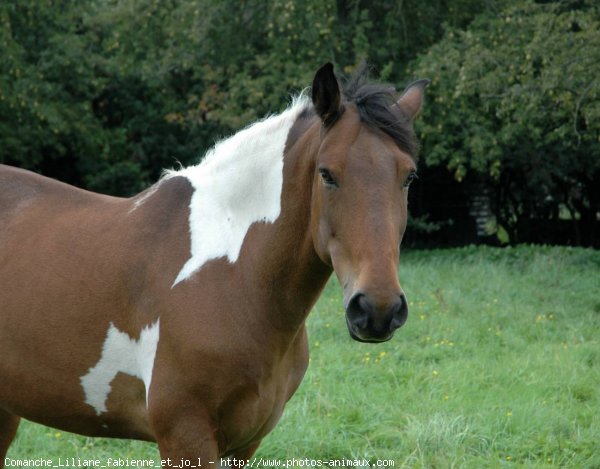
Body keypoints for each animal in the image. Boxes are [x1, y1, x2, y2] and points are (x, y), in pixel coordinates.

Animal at [2, 64, 428, 462]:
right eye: (327, 174)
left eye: (409, 177)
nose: (377, 309)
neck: (234, 278)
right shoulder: (184, 435)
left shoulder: (245, 442)